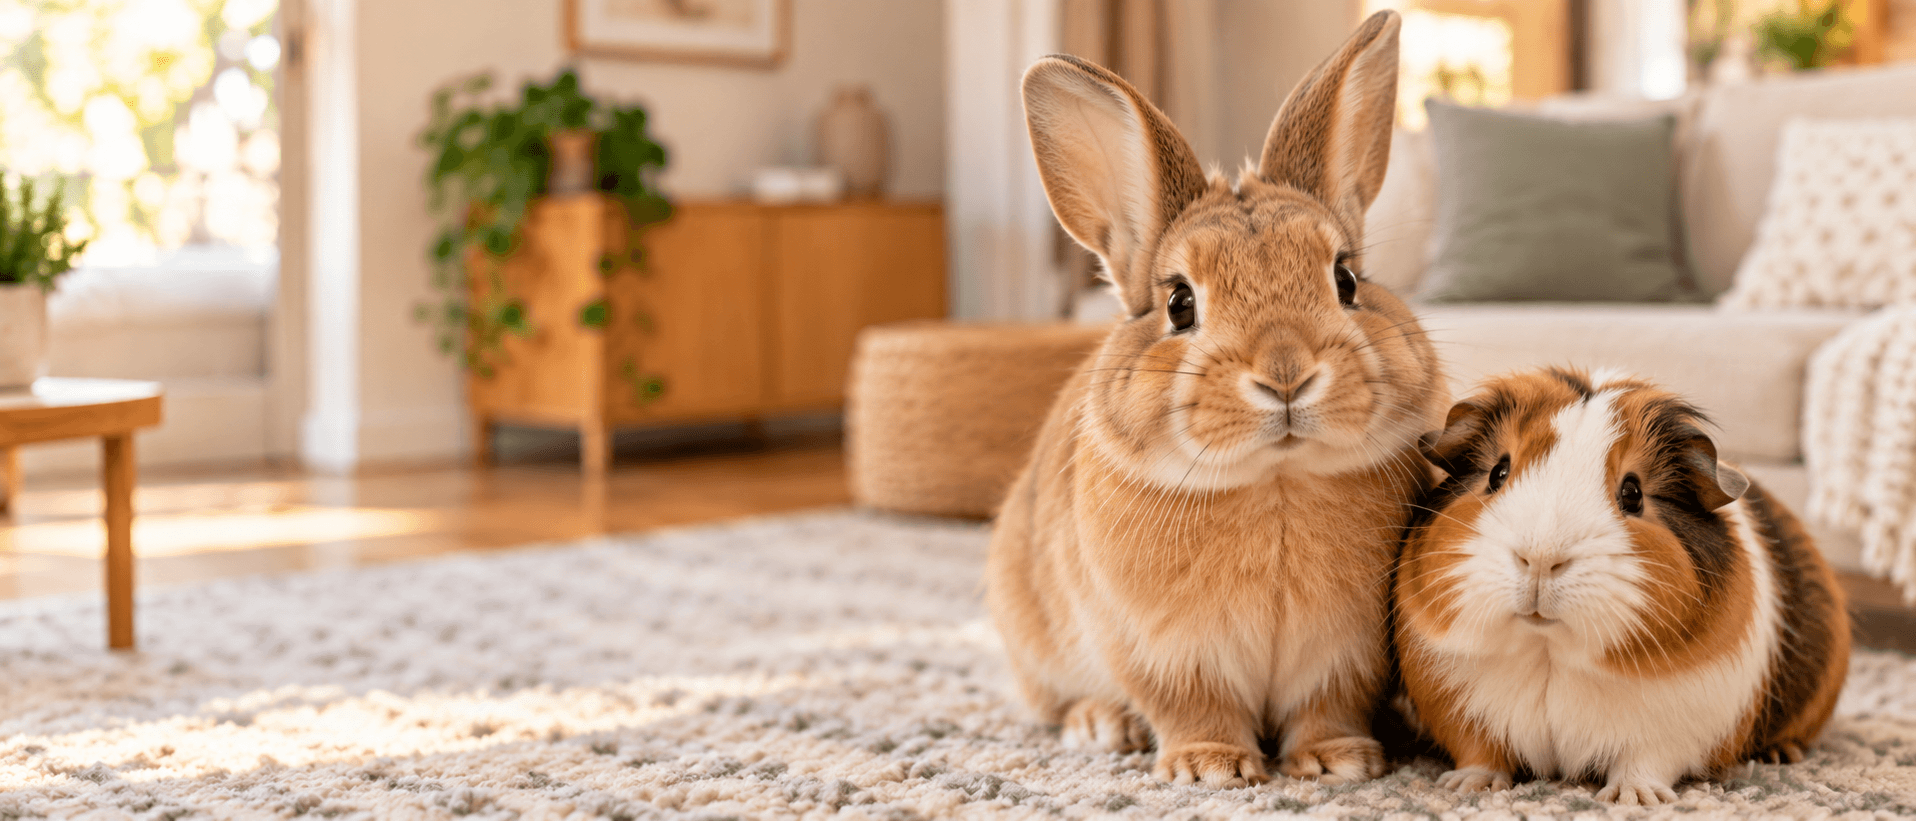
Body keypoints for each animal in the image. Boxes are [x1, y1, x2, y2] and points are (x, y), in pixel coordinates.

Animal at [984, 10, 1449, 789]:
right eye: (1180, 304)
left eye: (1346, 279)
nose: (1286, 373)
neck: (1276, 482)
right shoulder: (1167, 655)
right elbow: (1193, 707)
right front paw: (1210, 768)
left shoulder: (1345, 658)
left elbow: (1327, 708)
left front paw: (1339, 760)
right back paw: (1101, 725)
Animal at [1394, 367, 1851, 806]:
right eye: (1497, 473)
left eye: (1632, 493)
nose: (1540, 558)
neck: (1547, 653)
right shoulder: (1459, 709)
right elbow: (1480, 752)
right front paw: (1467, 787)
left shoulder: (1674, 730)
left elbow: (1643, 763)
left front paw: (1634, 799)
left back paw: (1779, 755)